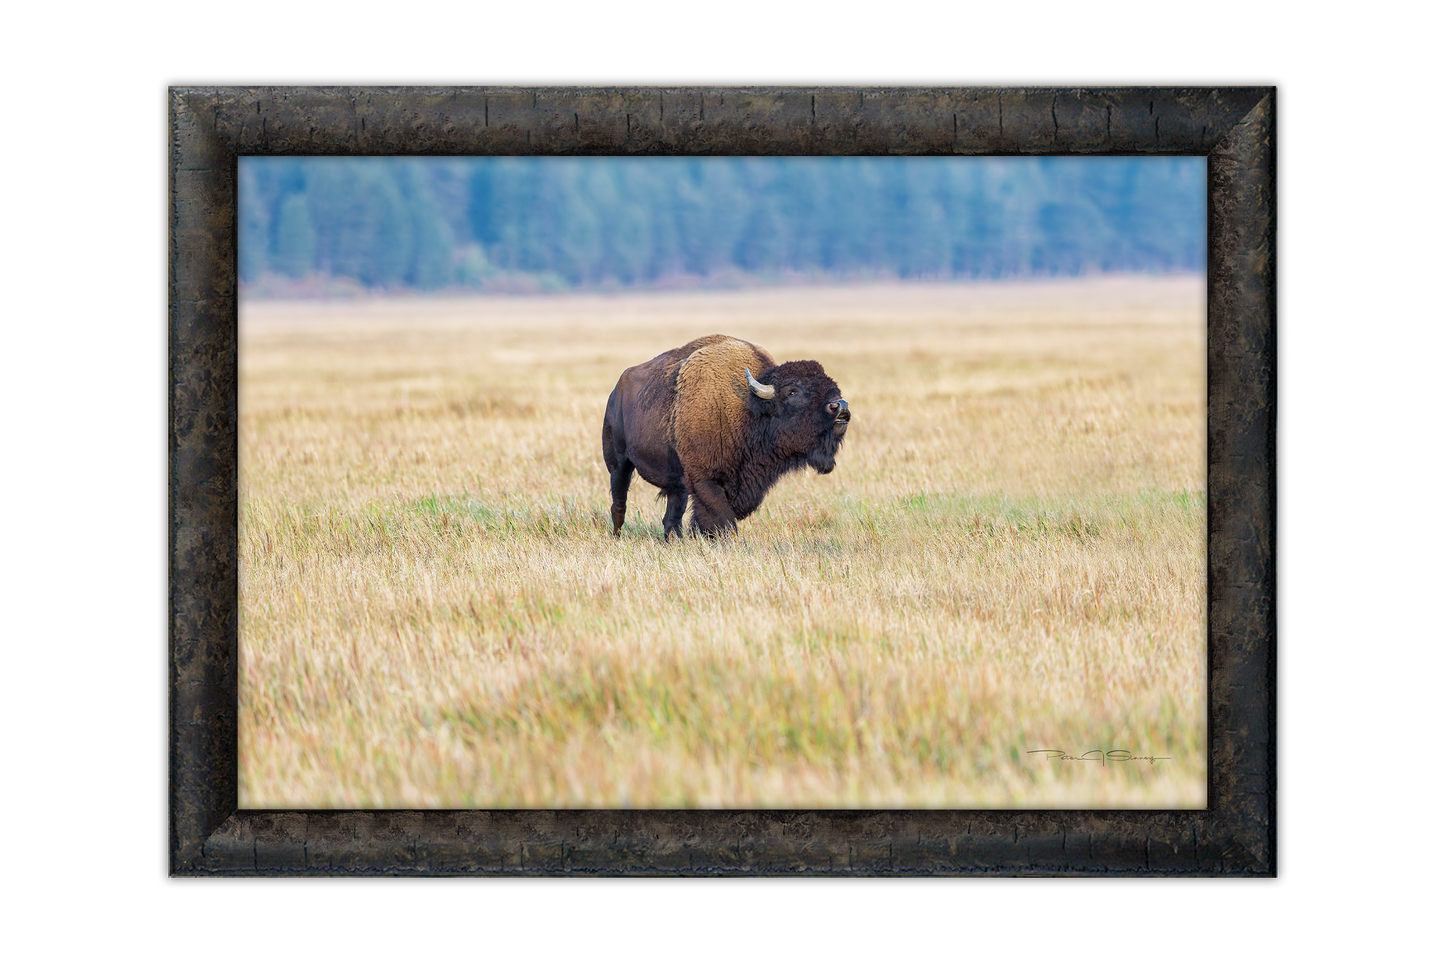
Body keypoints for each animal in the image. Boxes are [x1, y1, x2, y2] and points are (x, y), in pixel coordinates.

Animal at [602, 335, 851, 538]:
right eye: (792, 391)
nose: (839, 406)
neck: (748, 409)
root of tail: (616, 391)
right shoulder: (705, 480)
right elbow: (722, 520)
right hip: (618, 464)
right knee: (619, 503)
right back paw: (617, 536)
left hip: (675, 483)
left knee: (671, 516)